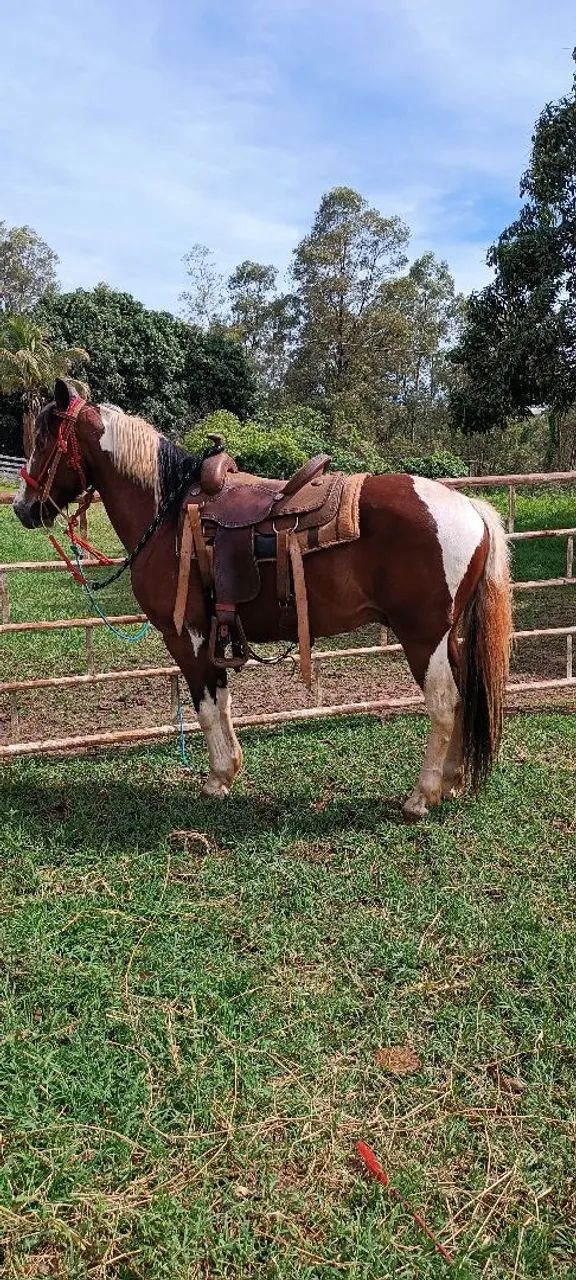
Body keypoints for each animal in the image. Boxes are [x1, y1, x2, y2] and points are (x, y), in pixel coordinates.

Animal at [13, 379, 512, 820]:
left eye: (44, 438)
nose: (22, 508)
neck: (167, 513)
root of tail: (470, 509)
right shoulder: (212, 634)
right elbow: (222, 700)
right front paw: (230, 770)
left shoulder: (186, 635)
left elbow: (206, 705)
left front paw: (217, 778)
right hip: (447, 637)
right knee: (464, 698)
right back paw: (451, 781)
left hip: (422, 637)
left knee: (444, 703)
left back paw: (421, 796)